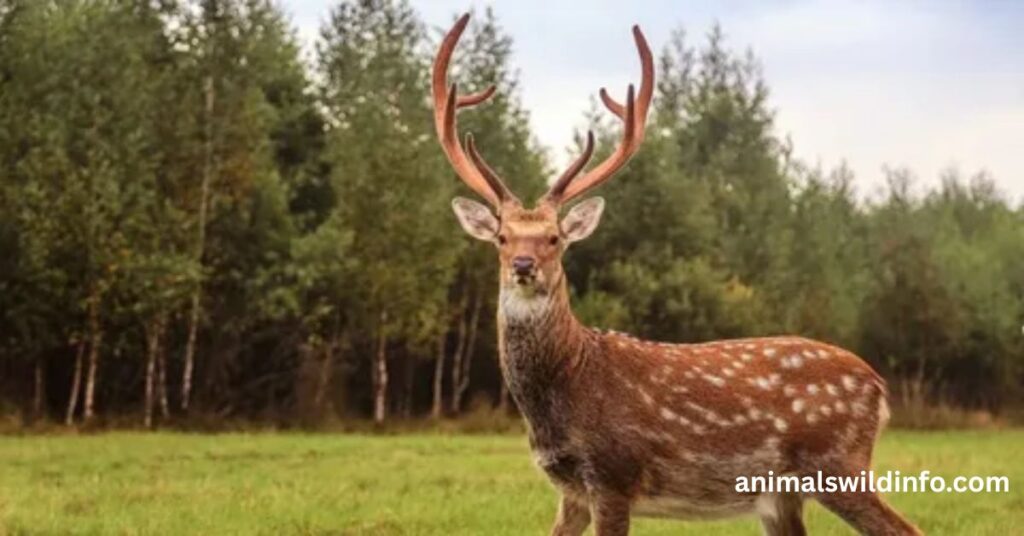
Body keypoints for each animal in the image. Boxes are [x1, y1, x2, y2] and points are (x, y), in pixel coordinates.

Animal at [433, 14, 922, 536]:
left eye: (554, 238)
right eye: (502, 238)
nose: (524, 266)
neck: (567, 384)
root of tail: (879, 388)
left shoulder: (613, 472)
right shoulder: (571, 490)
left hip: (837, 461)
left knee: (904, 529)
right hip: (783, 493)